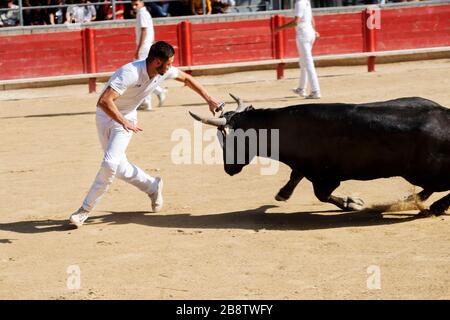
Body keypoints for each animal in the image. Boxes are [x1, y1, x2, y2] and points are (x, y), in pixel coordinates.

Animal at [190, 95, 450, 215]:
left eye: (229, 138)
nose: (229, 169)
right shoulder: (305, 167)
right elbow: (295, 176)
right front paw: (282, 194)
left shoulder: (325, 178)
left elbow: (321, 194)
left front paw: (352, 202)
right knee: (432, 188)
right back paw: (412, 200)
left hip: (423, 172)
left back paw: (435, 207)